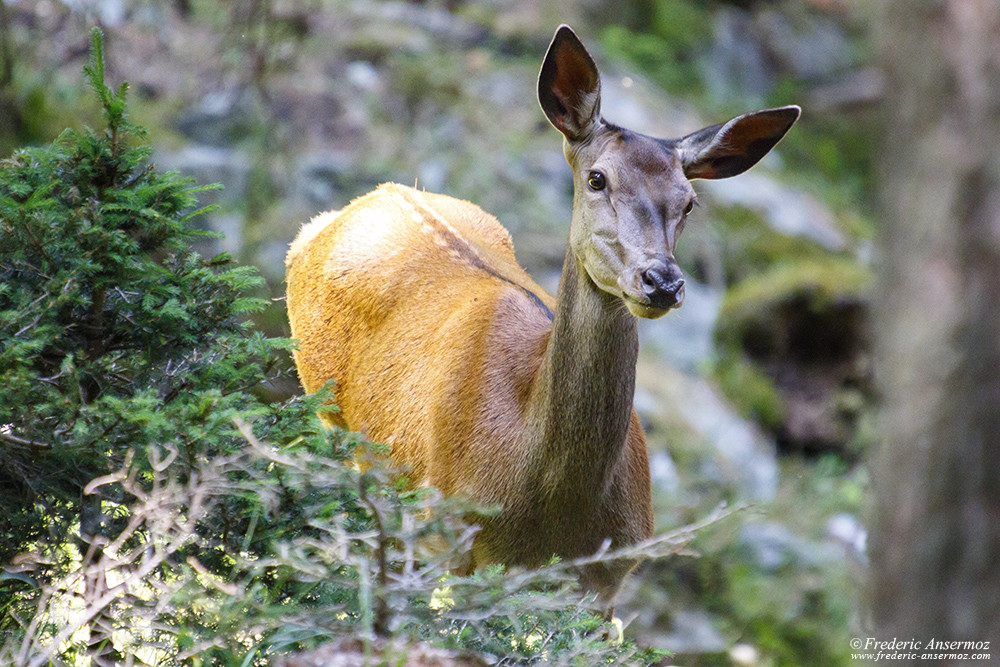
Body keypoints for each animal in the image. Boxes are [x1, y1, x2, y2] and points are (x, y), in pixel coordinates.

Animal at [286, 26, 800, 608]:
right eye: (597, 178)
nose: (662, 281)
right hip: (334, 423)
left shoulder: (609, 576)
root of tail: (363, 200)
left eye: (689, 202)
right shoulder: (450, 538)